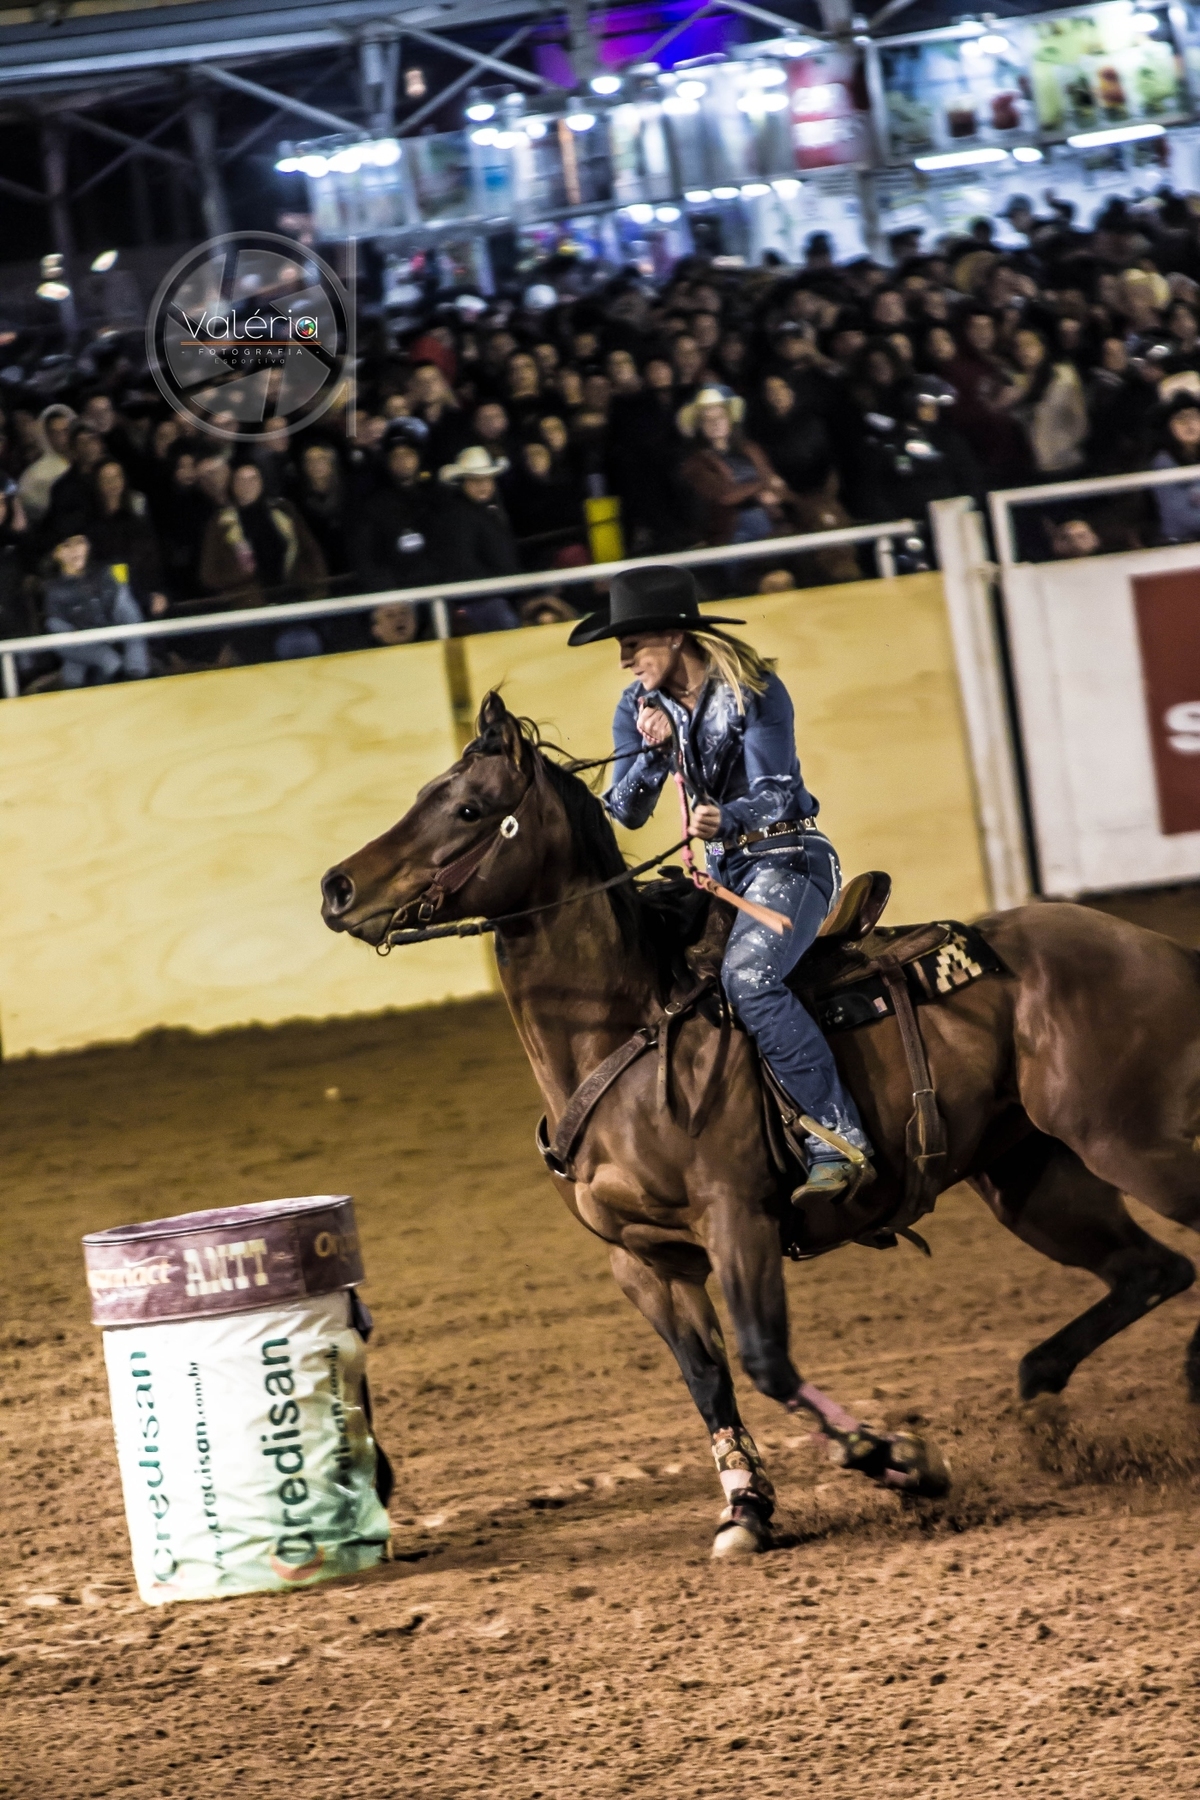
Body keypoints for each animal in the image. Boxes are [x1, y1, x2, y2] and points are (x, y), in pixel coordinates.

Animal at [320, 692, 1200, 1558]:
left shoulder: (735, 1218)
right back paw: (1056, 1392)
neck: (629, 1032)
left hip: (1131, 1143)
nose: (337, 887)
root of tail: (1157, 947)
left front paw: (901, 1461)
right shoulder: (644, 1260)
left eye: (468, 807)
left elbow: (765, 1361)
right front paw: (746, 1505)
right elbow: (708, 1379)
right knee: (1152, 1270)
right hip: (1033, 1181)